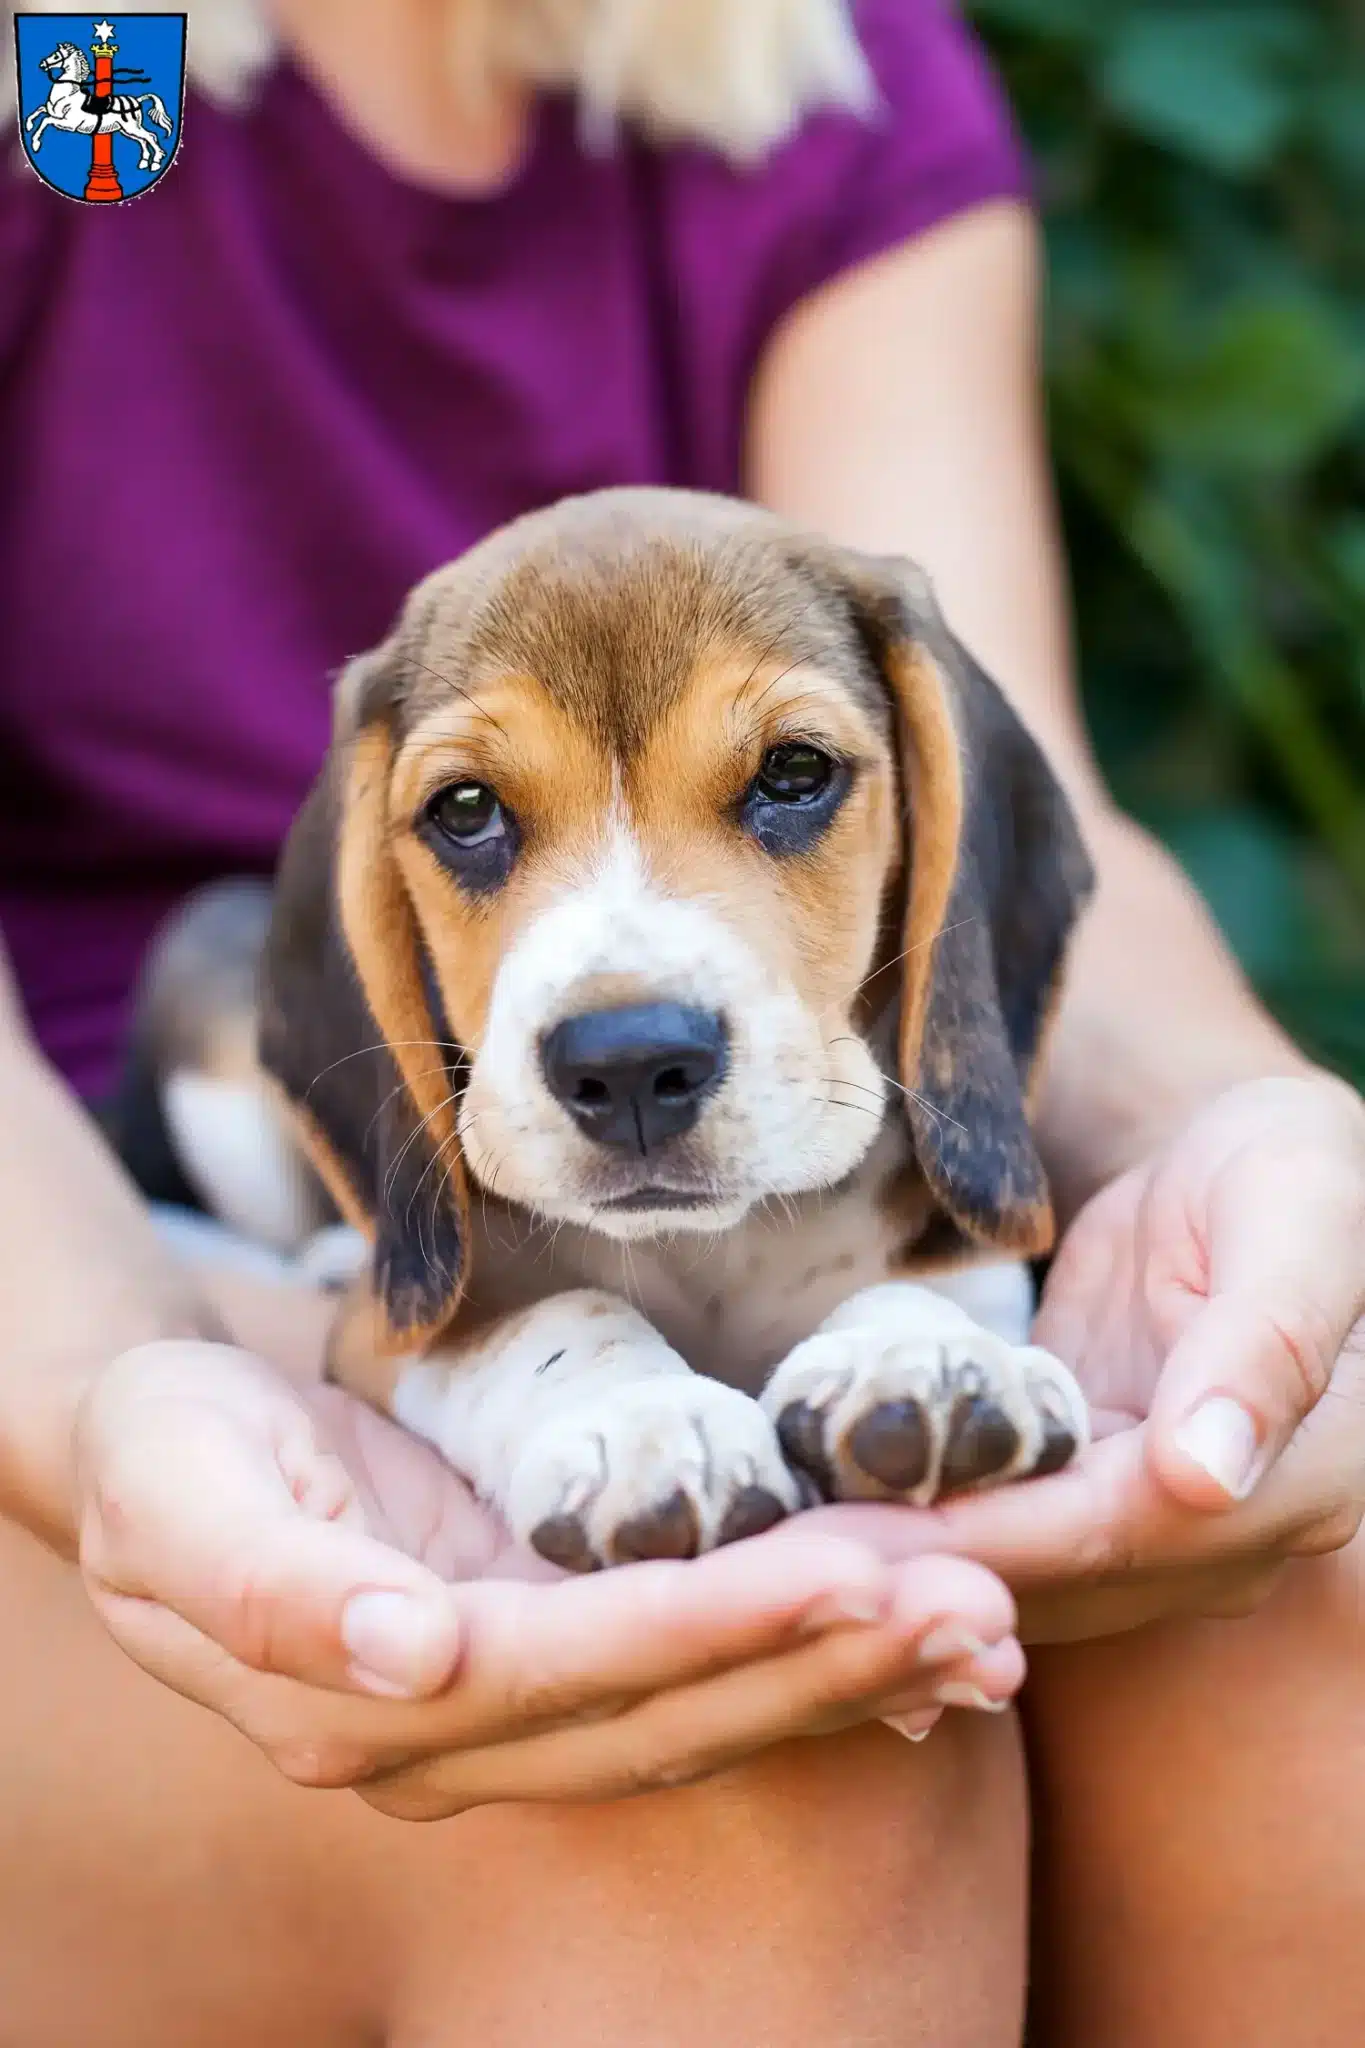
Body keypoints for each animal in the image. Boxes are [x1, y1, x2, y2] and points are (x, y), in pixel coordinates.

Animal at [24, 40, 175, 171]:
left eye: (56, 55)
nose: (42, 64)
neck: (68, 95)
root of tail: (137, 100)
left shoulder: (69, 124)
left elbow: (45, 120)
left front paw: (35, 144)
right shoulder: (53, 112)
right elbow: (40, 110)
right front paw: (28, 126)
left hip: (131, 128)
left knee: (150, 136)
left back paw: (156, 162)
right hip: (126, 130)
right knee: (143, 140)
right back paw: (143, 162)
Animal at [152, 491, 1096, 1564]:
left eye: (794, 771)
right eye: (464, 809)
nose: (630, 1064)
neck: (710, 1248)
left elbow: (926, 1288)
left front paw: (923, 1354)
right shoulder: (391, 1330)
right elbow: (561, 1314)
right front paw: (648, 1426)